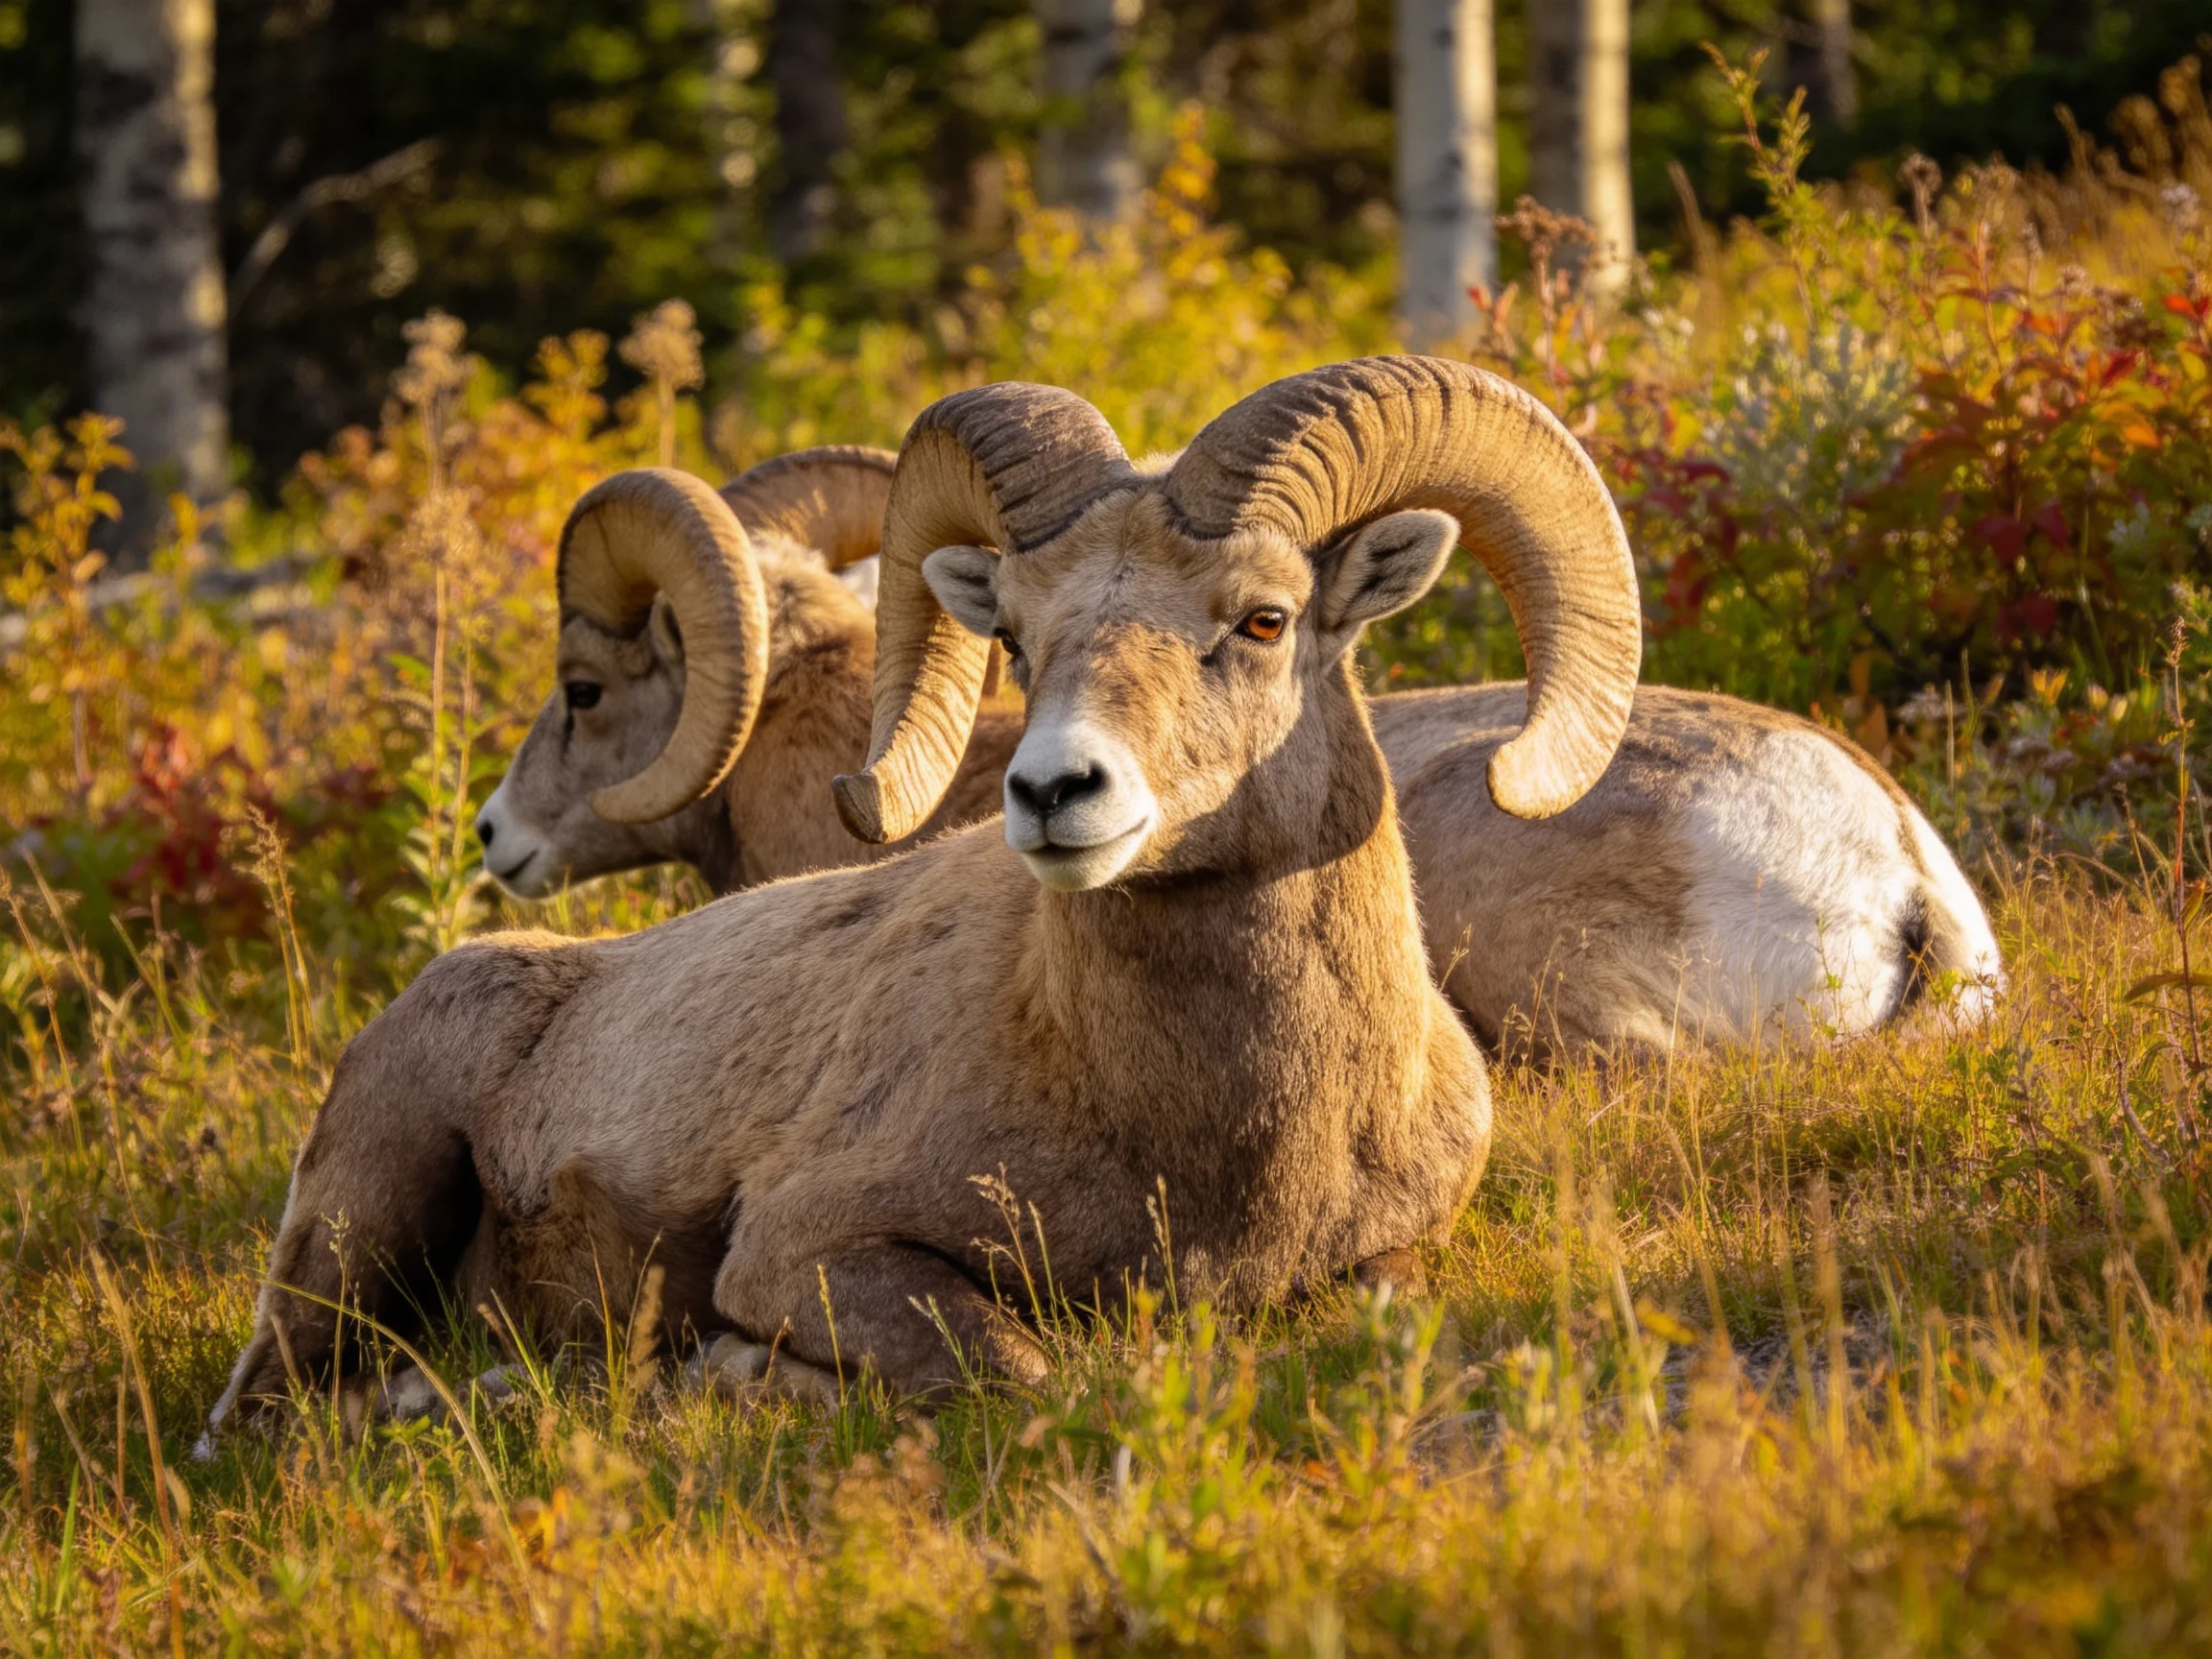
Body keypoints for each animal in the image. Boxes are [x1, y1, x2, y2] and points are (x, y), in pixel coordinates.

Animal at [204, 355, 1644, 1432]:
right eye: (1015, 633)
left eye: (1265, 620)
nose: (1057, 793)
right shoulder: (808, 1249)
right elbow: (1014, 1364)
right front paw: (733, 1374)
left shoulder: (1392, 1259)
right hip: (356, 1229)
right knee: (276, 1407)